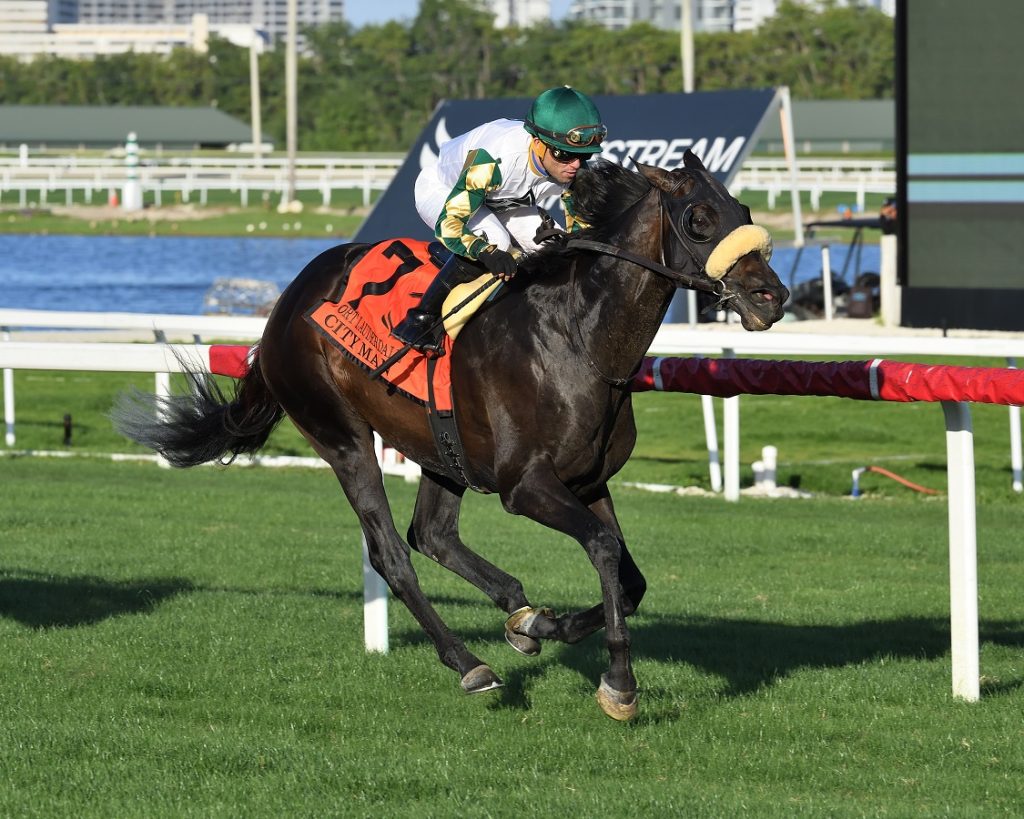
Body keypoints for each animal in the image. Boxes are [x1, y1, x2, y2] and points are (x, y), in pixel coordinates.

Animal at [112, 150, 786, 720]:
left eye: (746, 213)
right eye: (699, 219)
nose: (771, 296)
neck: (579, 340)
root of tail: (284, 305)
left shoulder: (589, 480)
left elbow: (630, 576)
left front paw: (542, 626)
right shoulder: (526, 486)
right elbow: (600, 549)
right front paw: (618, 684)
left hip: (440, 450)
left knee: (432, 534)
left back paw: (518, 611)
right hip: (342, 438)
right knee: (392, 553)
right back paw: (469, 663)